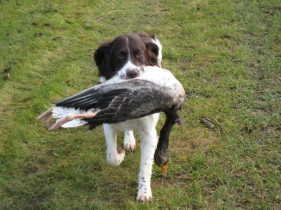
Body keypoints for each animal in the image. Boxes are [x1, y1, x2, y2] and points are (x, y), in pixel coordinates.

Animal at [93, 32, 161, 200]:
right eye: (120, 55)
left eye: (139, 54)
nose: (132, 73)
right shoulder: (109, 125)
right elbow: (112, 157)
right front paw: (121, 154)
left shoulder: (149, 133)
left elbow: (145, 165)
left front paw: (144, 192)